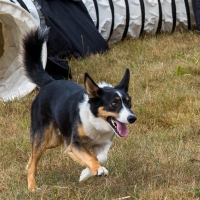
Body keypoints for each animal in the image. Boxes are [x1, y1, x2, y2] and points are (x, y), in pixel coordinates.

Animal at [22, 27, 138, 191]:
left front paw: (86, 174)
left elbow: (101, 157)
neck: (96, 121)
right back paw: (32, 186)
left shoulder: (101, 144)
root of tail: (49, 82)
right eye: (114, 104)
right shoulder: (75, 144)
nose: (132, 118)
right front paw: (96, 170)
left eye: (129, 103)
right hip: (43, 135)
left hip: (56, 139)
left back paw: (27, 167)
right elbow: (91, 156)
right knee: (34, 158)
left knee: (35, 155)